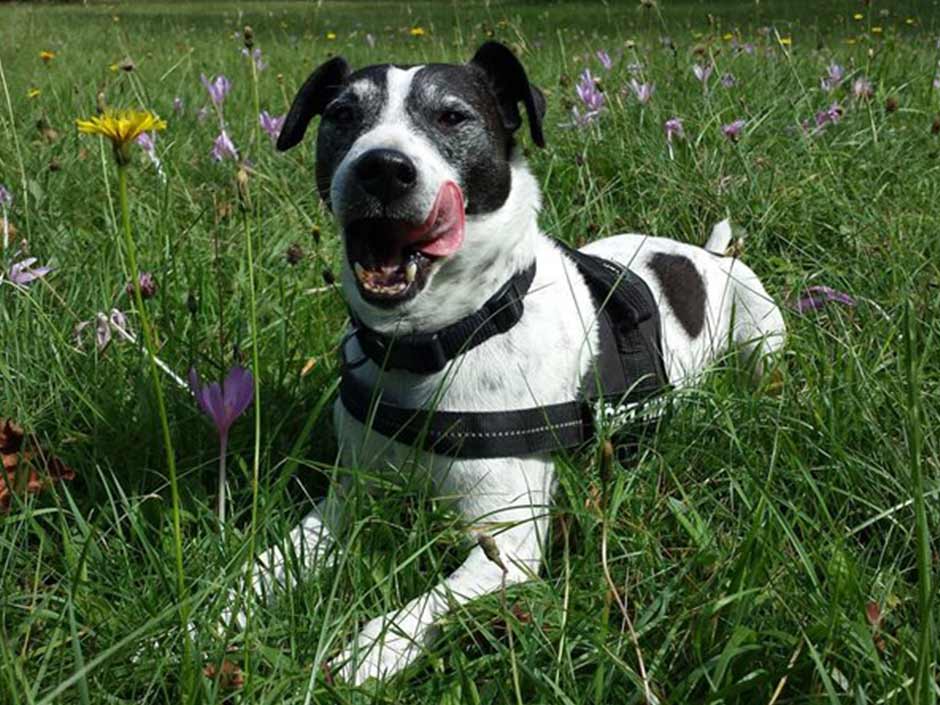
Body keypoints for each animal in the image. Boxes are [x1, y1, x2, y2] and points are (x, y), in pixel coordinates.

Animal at [235, 40, 784, 680]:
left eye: (452, 116)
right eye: (343, 114)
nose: (383, 168)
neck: (440, 342)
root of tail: (710, 254)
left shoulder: (508, 545)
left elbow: (421, 606)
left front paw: (365, 659)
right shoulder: (347, 499)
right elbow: (266, 567)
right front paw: (203, 623)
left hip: (763, 334)